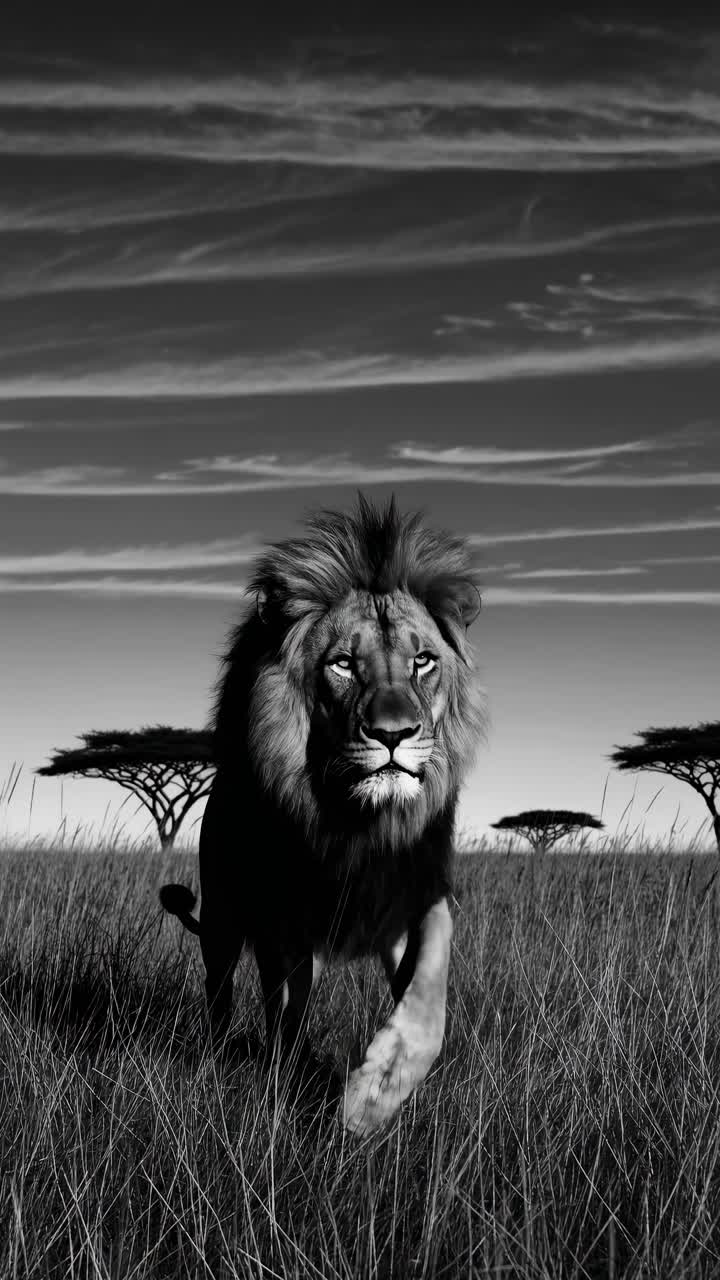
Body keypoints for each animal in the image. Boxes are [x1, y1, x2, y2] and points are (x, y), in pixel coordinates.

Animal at [160, 494, 484, 1135]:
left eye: (423, 661)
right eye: (343, 665)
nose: (394, 734)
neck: (356, 823)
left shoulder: (409, 893)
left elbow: (428, 998)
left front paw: (374, 1093)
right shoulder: (283, 918)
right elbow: (283, 1002)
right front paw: (305, 1084)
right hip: (227, 916)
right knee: (225, 990)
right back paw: (225, 1055)